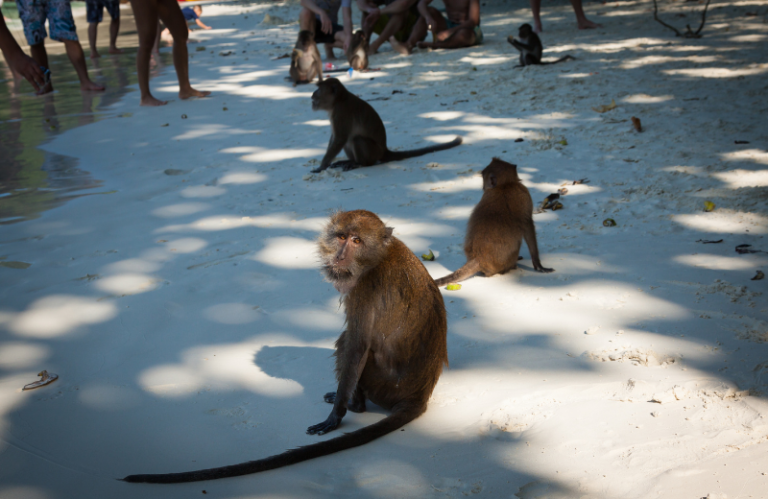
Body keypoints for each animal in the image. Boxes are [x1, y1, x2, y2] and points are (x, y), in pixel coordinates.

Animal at [124, 211, 450, 484]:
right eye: (341, 237)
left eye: (357, 241)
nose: (341, 254)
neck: (378, 257)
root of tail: (419, 395)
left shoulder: (364, 289)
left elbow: (357, 346)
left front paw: (336, 416)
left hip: (380, 385)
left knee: (346, 340)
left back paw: (353, 404)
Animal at [308, 77, 462, 172]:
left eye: (319, 89)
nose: (312, 94)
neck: (339, 100)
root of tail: (384, 150)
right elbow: (336, 137)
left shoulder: (341, 112)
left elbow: (340, 138)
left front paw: (322, 166)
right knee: (350, 140)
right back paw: (349, 161)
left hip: (374, 152)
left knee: (357, 139)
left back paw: (359, 163)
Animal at [432, 158, 552, 288]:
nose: (484, 187)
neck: (505, 185)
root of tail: (478, 258)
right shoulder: (524, 195)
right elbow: (528, 226)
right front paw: (538, 264)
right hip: (503, 262)